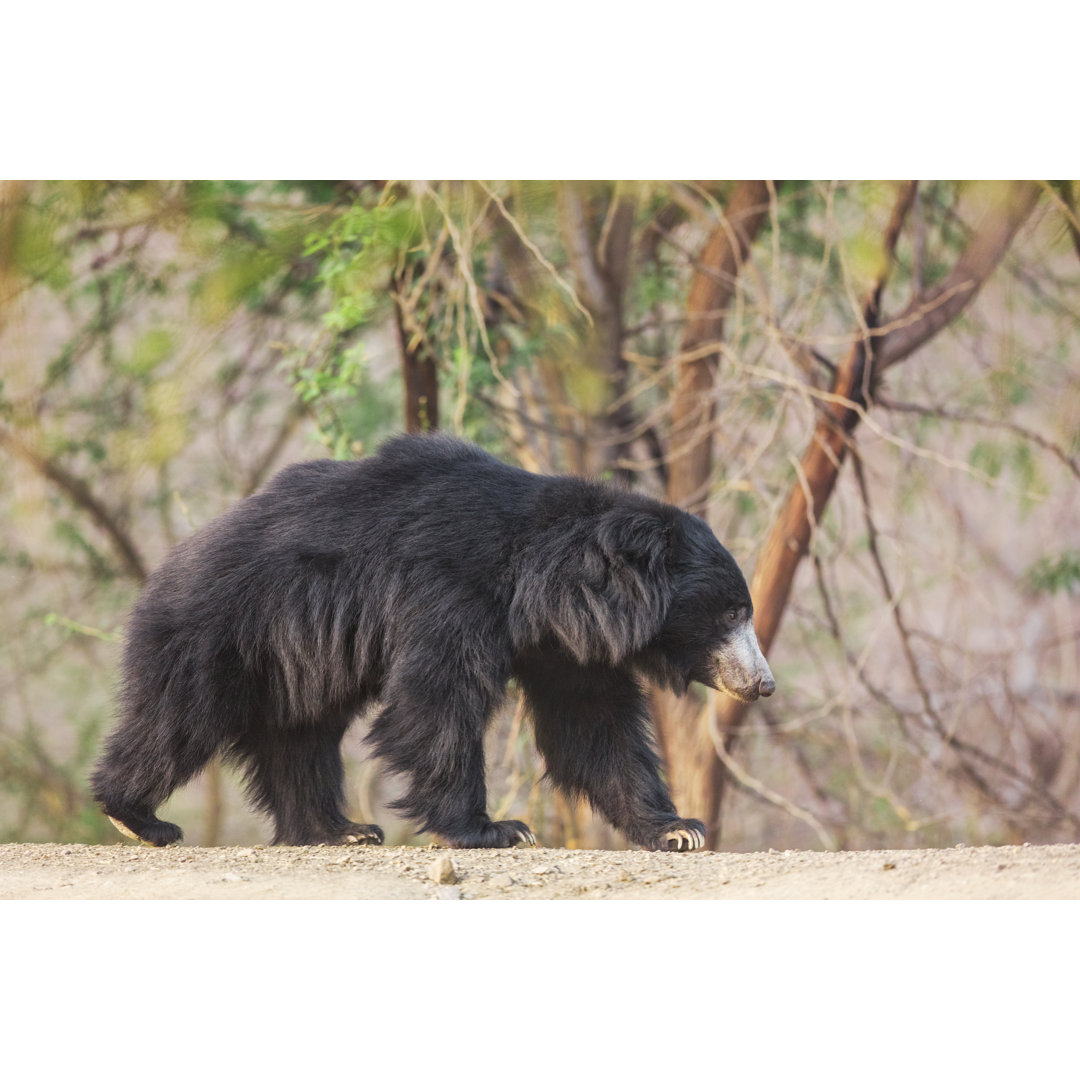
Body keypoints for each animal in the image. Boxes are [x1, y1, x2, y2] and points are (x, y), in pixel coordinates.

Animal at [90, 434, 768, 846]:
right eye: (732, 612)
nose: (763, 684)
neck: (548, 582)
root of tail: (174, 559)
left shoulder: (564, 644)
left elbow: (594, 724)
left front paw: (676, 829)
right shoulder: (450, 590)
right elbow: (438, 699)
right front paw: (496, 830)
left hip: (294, 659)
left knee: (299, 737)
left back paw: (340, 829)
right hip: (218, 629)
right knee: (177, 718)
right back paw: (139, 818)